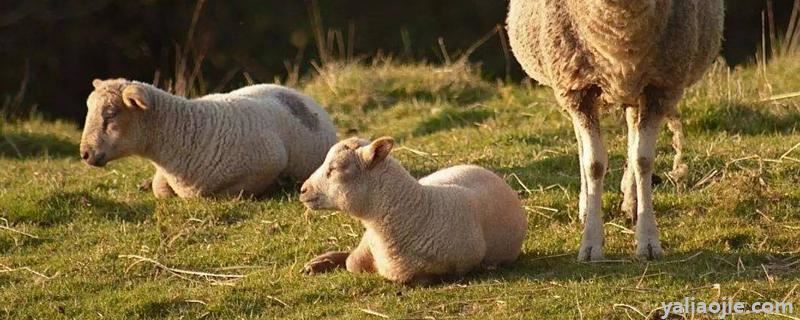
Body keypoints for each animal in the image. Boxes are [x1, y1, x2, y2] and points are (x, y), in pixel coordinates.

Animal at [510, 0, 728, 260]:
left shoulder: (660, 87)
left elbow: (643, 160)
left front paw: (648, 240)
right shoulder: (577, 89)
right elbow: (593, 164)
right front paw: (591, 243)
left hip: (637, 88)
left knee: (633, 137)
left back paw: (631, 202)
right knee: (583, 147)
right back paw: (586, 206)